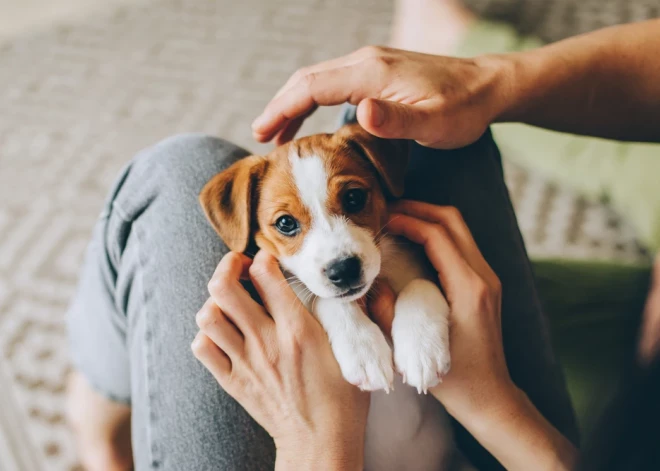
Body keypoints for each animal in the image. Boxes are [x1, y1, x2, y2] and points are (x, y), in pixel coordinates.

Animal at [199, 124, 472, 471]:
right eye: (285, 223)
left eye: (354, 197)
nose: (343, 270)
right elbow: (326, 300)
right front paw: (363, 349)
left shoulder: (421, 268)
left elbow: (420, 285)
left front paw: (421, 349)